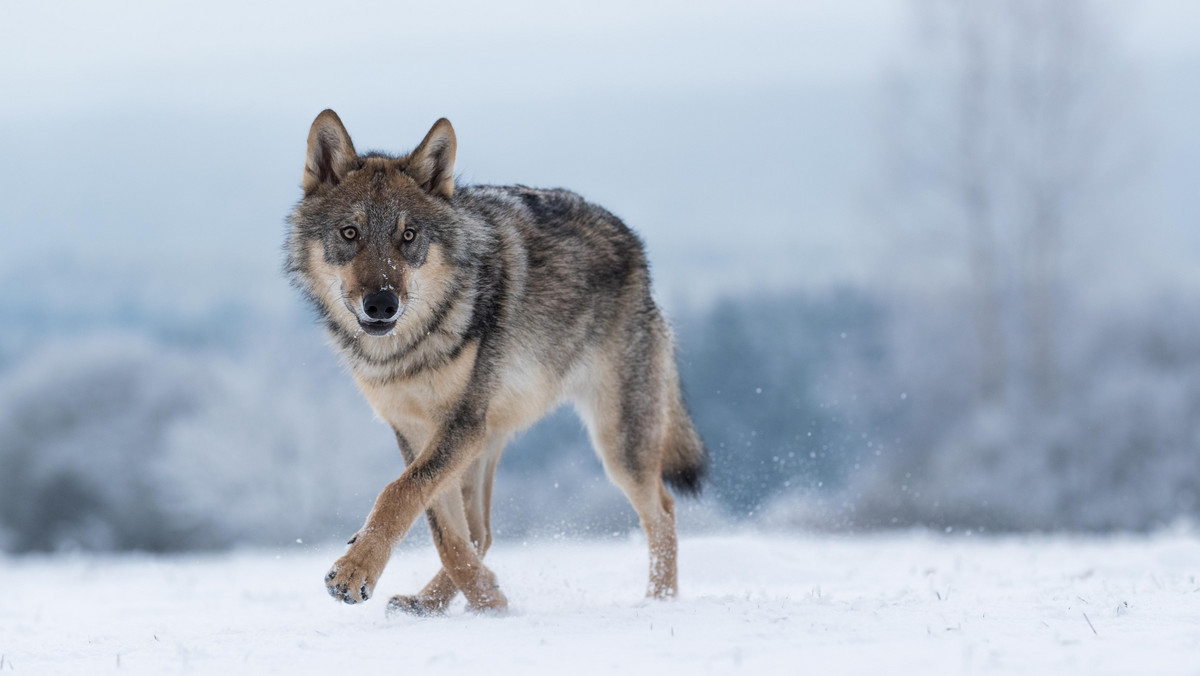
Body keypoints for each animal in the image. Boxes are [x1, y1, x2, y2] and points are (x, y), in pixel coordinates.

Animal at [285, 109, 705, 614]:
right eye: (350, 233)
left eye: (408, 236)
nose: (382, 304)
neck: (409, 350)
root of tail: (635, 246)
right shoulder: (415, 430)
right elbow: (442, 529)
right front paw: (487, 599)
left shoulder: (461, 425)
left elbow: (399, 493)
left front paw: (353, 572)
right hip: (491, 439)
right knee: (481, 532)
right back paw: (432, 602)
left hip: (616, 442)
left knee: (662, 511)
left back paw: (659, 602)